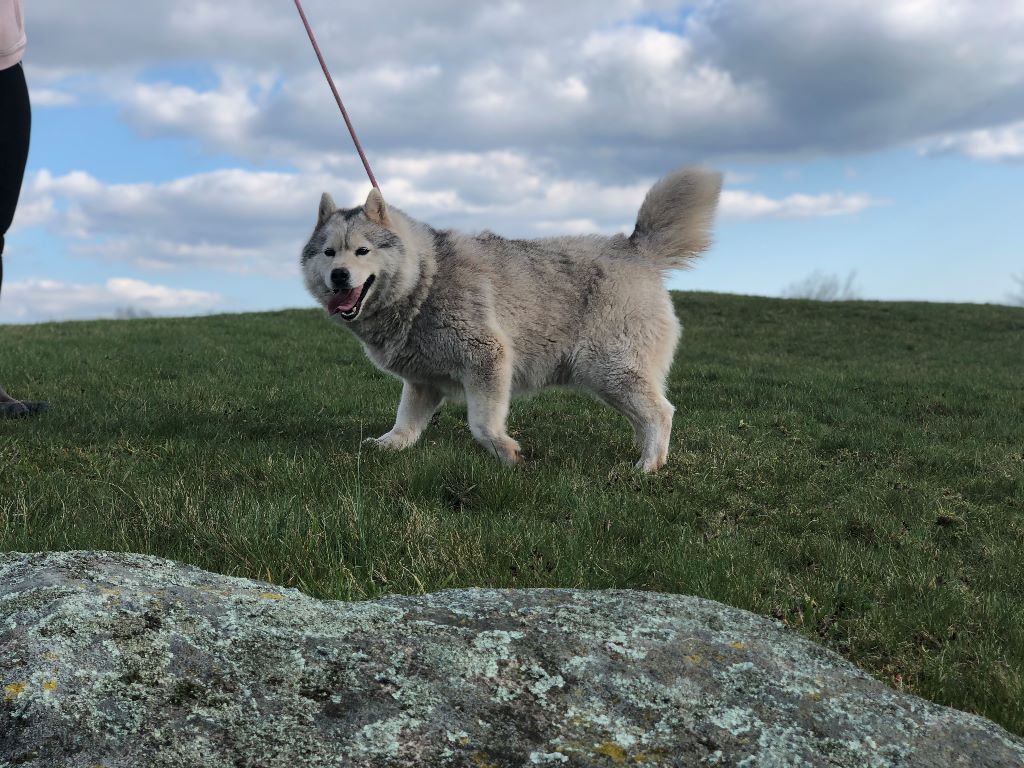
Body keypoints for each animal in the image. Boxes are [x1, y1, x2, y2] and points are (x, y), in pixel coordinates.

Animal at [299, 166, 724, 468]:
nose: (340, 276)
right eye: (329, 253)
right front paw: (390, 445)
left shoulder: (487, 359)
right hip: (610, 377)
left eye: (363, 251)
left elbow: (482, 425)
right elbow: (405, 423)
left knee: (661, 413)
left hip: (609, 369)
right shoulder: (423, 384)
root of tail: (635, 248)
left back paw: (649, 466)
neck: (424, 281)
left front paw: (506, 453)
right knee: (647, 415)